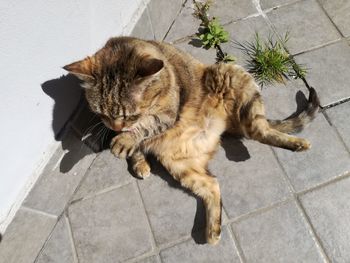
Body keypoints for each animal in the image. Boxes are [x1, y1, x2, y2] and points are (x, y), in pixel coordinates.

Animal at [63, 36, 320, 246]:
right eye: (102, 113)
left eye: (130, 114)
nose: (116, 128)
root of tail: (221, 128)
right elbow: (138, 145)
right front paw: (137, 160)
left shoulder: (166, 115)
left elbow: (143, 128)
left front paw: (125, 141)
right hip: (181, 166)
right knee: (213, 185)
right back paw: (213, 232)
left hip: (231, 76)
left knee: (260, 131)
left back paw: (296, 144)